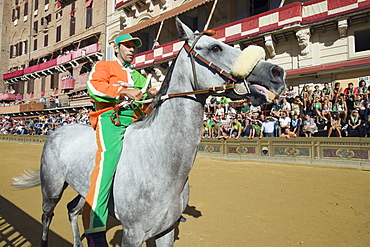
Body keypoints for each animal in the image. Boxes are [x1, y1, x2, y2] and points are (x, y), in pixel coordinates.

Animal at [13, 17, 286, 247]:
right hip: (51, 188)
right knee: (47, 216)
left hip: (84, 190)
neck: (160, 162)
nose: (277, 72)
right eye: (214, 48)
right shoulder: (133, 235)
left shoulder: (165, 231)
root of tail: (58, 131)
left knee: (72, 210)